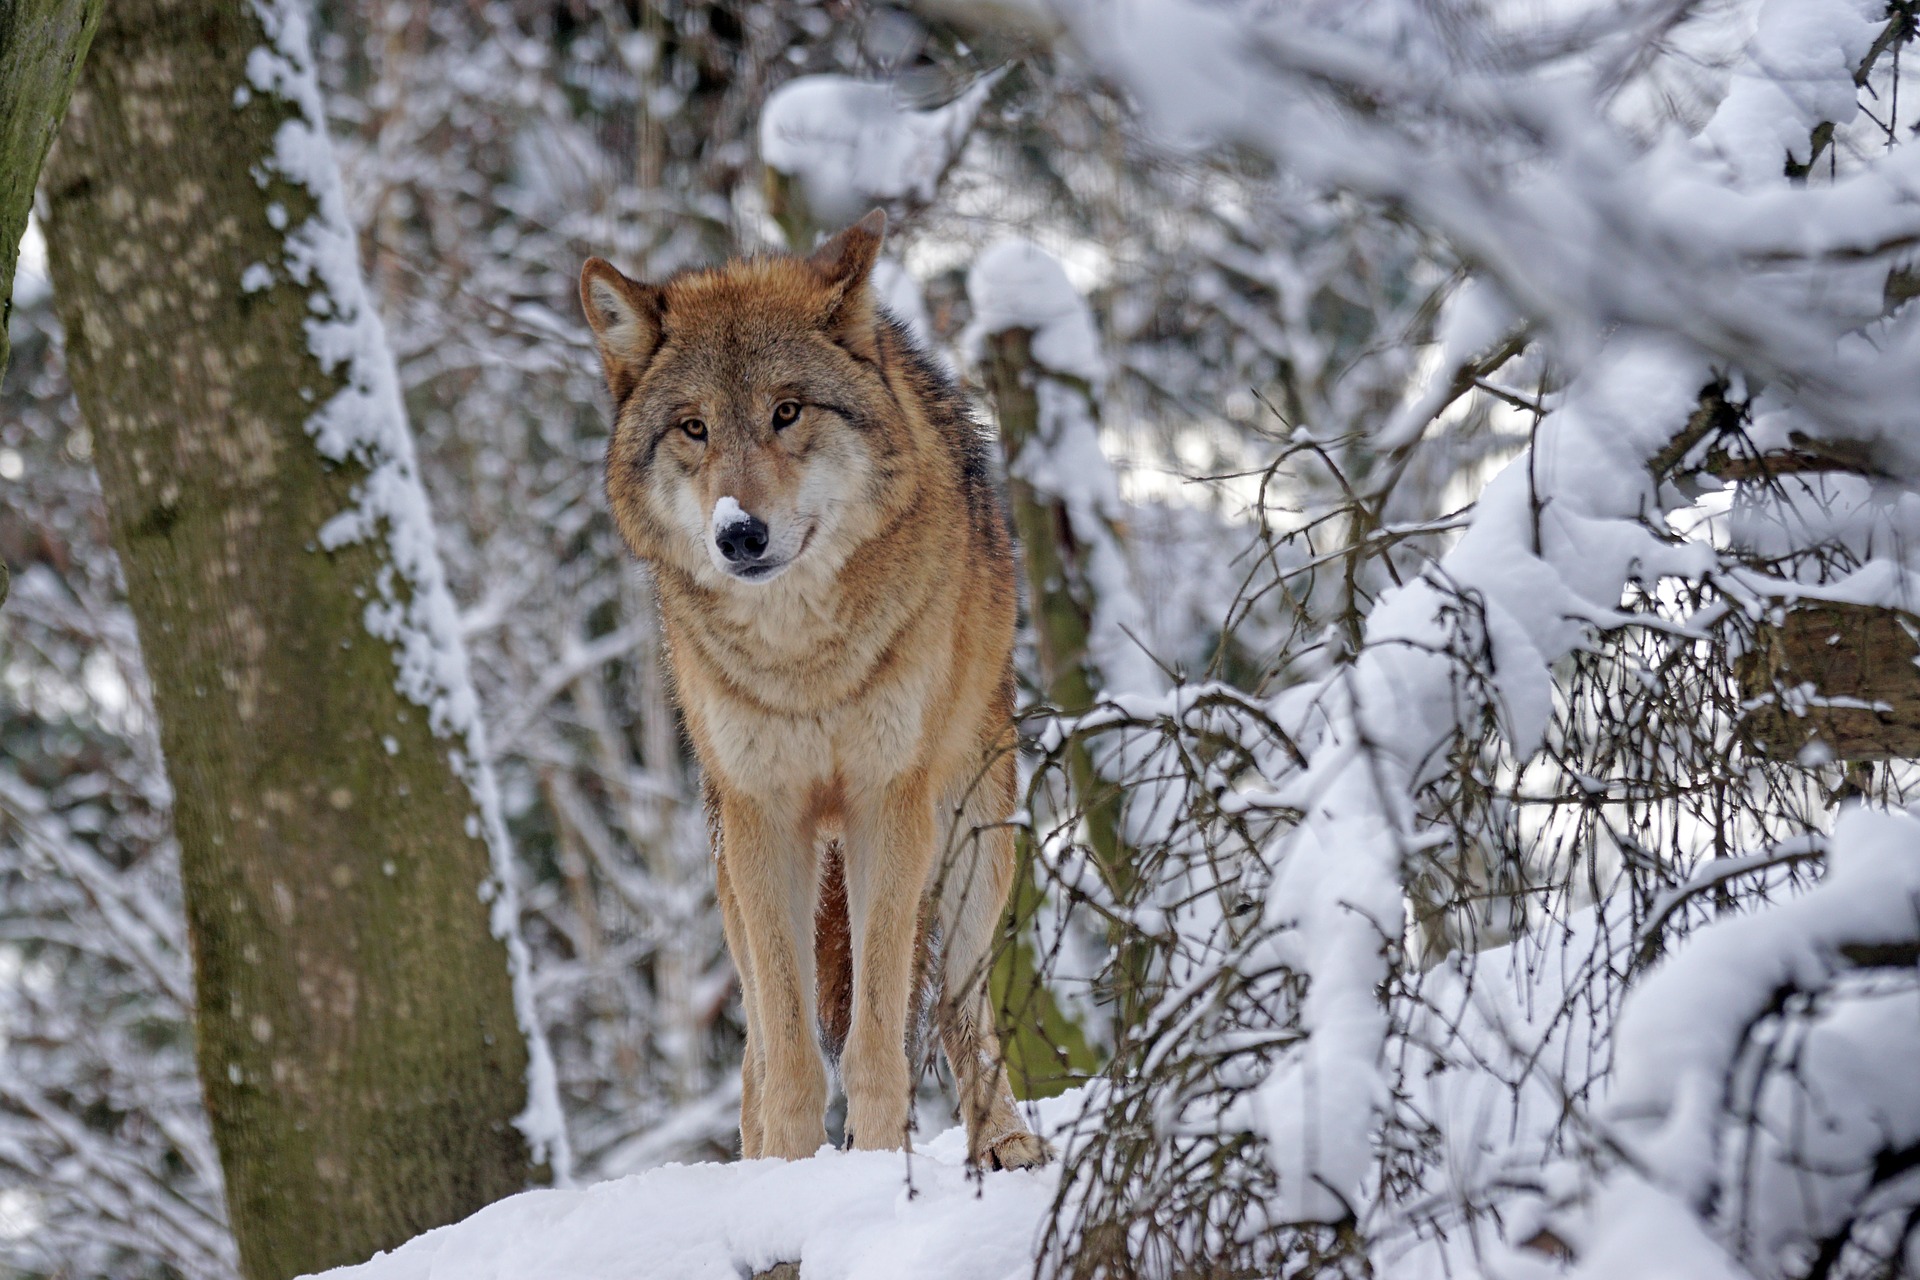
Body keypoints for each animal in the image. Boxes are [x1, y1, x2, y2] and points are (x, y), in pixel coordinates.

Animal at [579, 208, 1052, 1174]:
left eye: (786, 411)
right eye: (694, 428)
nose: (739, 534)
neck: (804, 661)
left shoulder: (886, 802)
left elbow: (875, 1033)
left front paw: (872, 1164)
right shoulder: (763, 819)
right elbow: (791, 1050)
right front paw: (788, 1178)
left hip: (976, 845)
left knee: (957, 1008)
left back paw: (1003, 1140)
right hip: (731, 872)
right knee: (758, 1048)